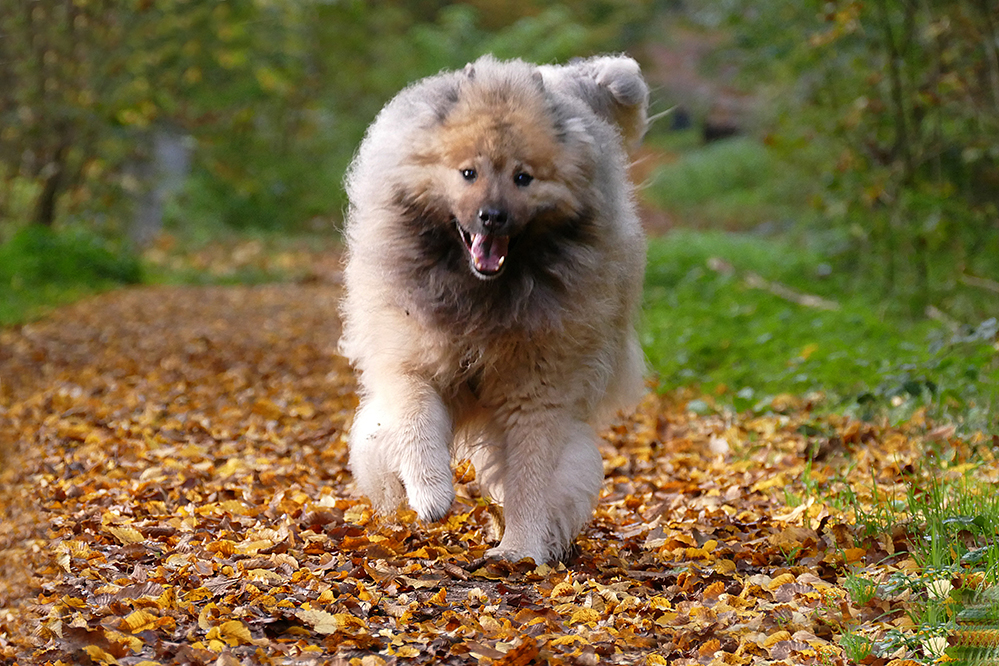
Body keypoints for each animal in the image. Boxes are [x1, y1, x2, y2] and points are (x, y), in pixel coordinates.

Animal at [340, 54, 652, 560]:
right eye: (468, 173)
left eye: (523, 178)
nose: (493, 216)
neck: (482, 296)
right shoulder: (411, 360)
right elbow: (417, 423)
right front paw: (431, 494)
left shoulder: (536, 393)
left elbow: (531, 477)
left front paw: (520, 551)